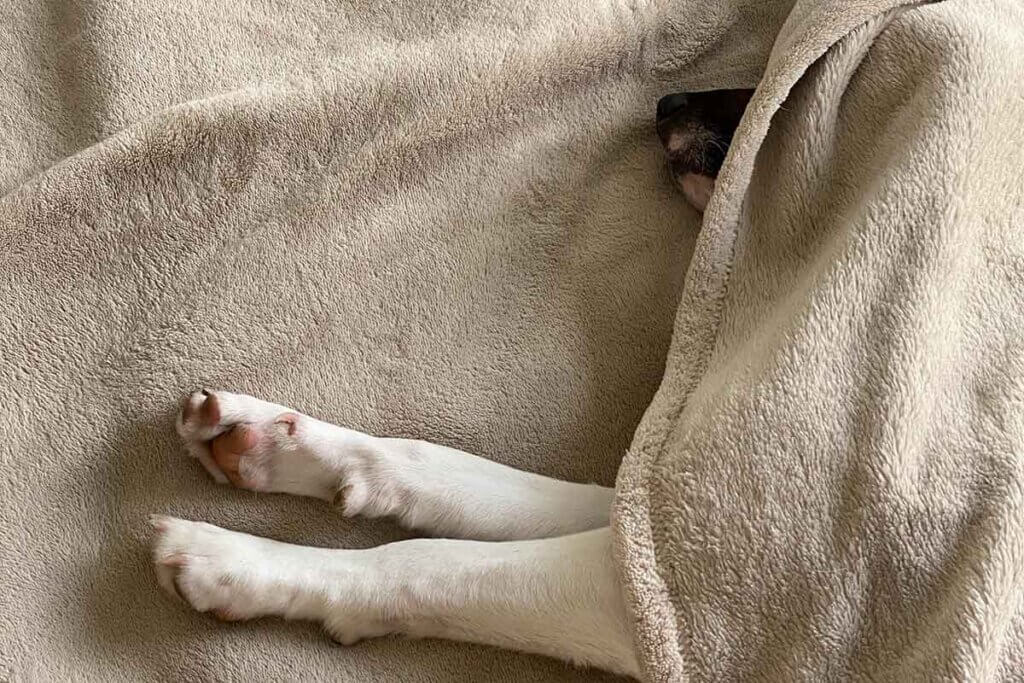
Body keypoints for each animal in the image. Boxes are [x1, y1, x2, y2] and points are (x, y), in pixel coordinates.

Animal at [151, 89, 757, 679]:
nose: (668, 102)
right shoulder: (652, 530)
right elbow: (457, 473)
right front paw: (273, 441)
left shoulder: (664, 584)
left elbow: (425, 559)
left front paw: (240, 563)